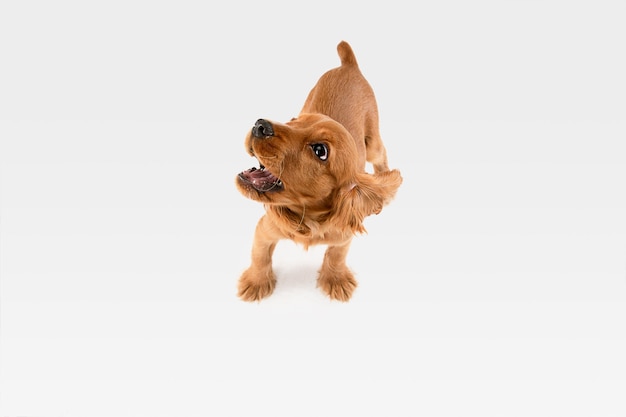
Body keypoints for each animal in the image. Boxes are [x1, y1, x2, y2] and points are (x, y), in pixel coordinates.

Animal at [234, 41, 400, 302]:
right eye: (293, 120)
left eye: (320, 150)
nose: (259, 125)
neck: (308, 217)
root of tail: (349, 65)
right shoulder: (264, 229)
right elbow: (259, 256)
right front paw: (256, 282)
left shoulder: (343, 237)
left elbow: (336, 256)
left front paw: (336, 279)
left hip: (372, 142)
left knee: (381, 154)